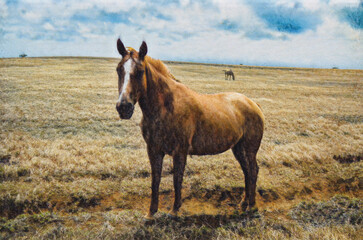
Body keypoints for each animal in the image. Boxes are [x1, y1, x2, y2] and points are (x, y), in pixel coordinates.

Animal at [116, 39, 264, 219]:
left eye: (140, 71)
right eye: (119, 69)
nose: (124, 107)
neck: (166, 107)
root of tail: (253, 104)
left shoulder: (180, 151)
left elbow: (177, 179)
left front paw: (174, 210)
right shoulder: (153, 150)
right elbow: (155, 179)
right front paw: (151, 212)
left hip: (250, 149)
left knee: (253, 170)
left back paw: (252, 206)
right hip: (238, 148)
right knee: (247, 171)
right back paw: (244, 203)